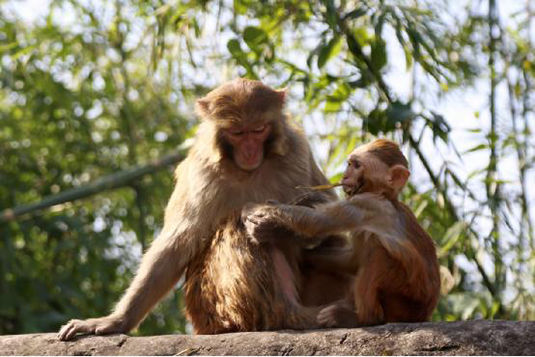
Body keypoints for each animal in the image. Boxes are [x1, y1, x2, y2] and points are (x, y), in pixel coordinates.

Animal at [245, 138, 442, 326]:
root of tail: (424, 315)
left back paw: (362, 319)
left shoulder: (366, 204)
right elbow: (352, 260)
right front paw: (298, 250)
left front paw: (263, 215)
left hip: (404, 302)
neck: (385, 196)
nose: (345, 175)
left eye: (356, 165)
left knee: (377, 253)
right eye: (349, 164)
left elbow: (317, 221)